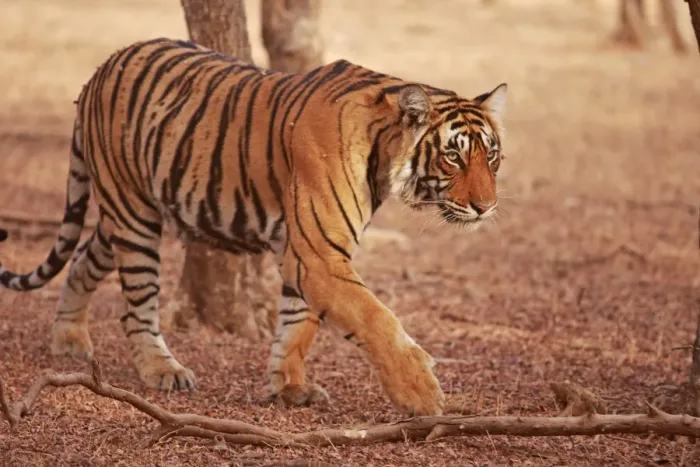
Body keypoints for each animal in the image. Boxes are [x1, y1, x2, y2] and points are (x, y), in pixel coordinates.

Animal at [0, 37, 507, 416]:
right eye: (454, 155)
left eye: (493, 156)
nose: (486, 207)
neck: (384, 152)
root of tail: (101, 68)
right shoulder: (317, 253)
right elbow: (373, 316)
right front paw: (421, 393)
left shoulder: (302, 249)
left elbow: (298, 322)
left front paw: (289, 386)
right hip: (133, 214)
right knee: (136, 306)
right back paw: (163, 370)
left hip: (120, 213)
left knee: (82, 261)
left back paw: (68, 339)